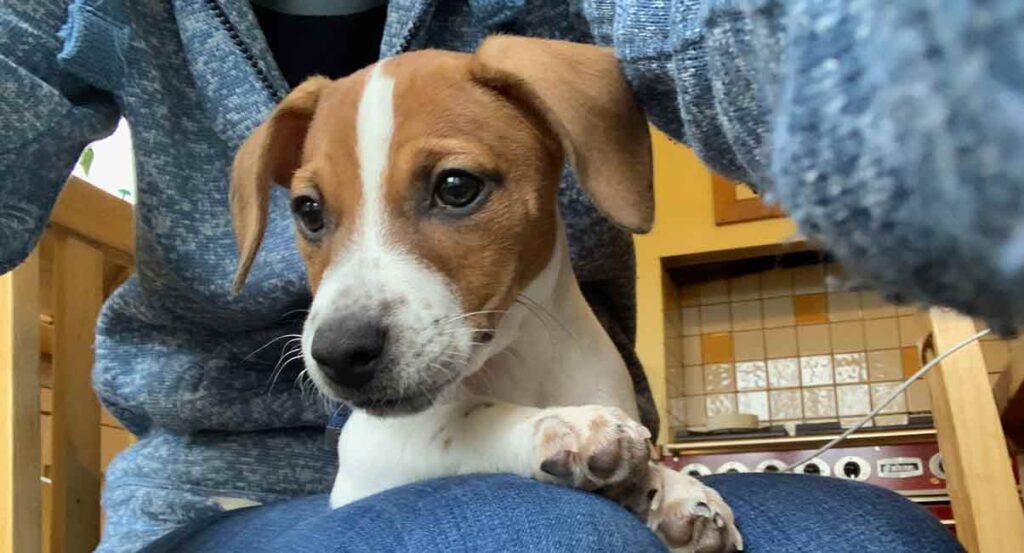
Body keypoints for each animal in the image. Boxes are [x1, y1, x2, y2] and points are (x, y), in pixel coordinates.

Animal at [231, 35, 741, 553]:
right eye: (308, 210)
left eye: (456, 187)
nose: (339, 354)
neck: (514, 358)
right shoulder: (365, 448)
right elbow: (458, 420)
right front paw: (560, 426)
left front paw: (674, 491)